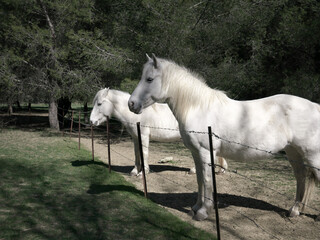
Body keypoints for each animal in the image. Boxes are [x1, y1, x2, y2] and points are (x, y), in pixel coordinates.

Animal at [90, 88, 229, 176]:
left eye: (99, 103)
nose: (91, 121)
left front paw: (143, 172)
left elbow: (144, 153)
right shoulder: (135, 137)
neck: (136, 115)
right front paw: (135, 171)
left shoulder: (144, 136)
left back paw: (194, 170)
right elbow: (136, 153)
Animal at [129, 54, 320, 221]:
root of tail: (315, 107)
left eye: (149, 79)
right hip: (293, 153)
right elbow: (199, 179)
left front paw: (203, 212)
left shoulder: (206, 152)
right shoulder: (196, 153)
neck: (198, 108)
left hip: (312, 156)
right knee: (301, 178)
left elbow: (207, 180)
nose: (131, 104)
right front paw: (195, 207)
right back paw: (294, 210)